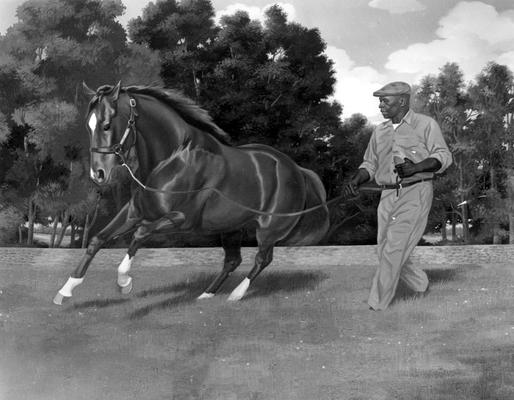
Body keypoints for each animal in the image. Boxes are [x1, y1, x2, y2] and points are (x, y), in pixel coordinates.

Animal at [53, 83, 328, 304]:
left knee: (262, 259)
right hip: (231, 227)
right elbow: (97, 240)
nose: (98, 174)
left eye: (107, 124)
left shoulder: (181, 220)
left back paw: (236, 295)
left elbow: (140, 234)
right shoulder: (133, 212)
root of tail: (297, 169)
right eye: (88, 126)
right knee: (233, 260)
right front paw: (65, 291)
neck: (172, 160)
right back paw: (206, 295)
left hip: (269, 228)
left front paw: (124, 283)